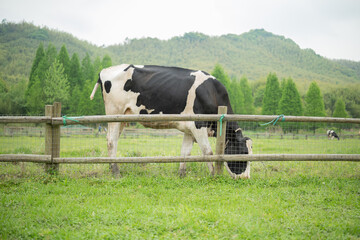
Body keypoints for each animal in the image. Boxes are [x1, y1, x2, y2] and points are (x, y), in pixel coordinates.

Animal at [91, 64, 252, 179]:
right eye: (243, 152)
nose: (245, 178)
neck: (212, 93)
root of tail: (104, 70)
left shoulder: (189, 129)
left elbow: (185, 152)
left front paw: (181, 175)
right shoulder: (198, 125)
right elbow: (208, 152)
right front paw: (213, 175)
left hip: (123, 117)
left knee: (112, 139)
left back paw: (112, 168)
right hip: (114, 113)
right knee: (111, 141)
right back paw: (116, 172)